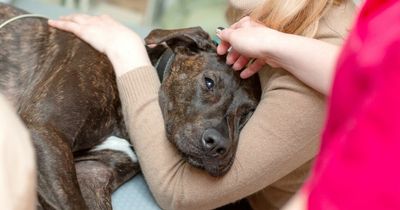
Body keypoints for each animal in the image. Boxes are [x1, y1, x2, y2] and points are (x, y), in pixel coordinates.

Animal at [0, 3, 260, 210]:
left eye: (247, 114)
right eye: (209, 82)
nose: (219, 145)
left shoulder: (93, 174)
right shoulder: (44, 130)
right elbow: (72, 204)